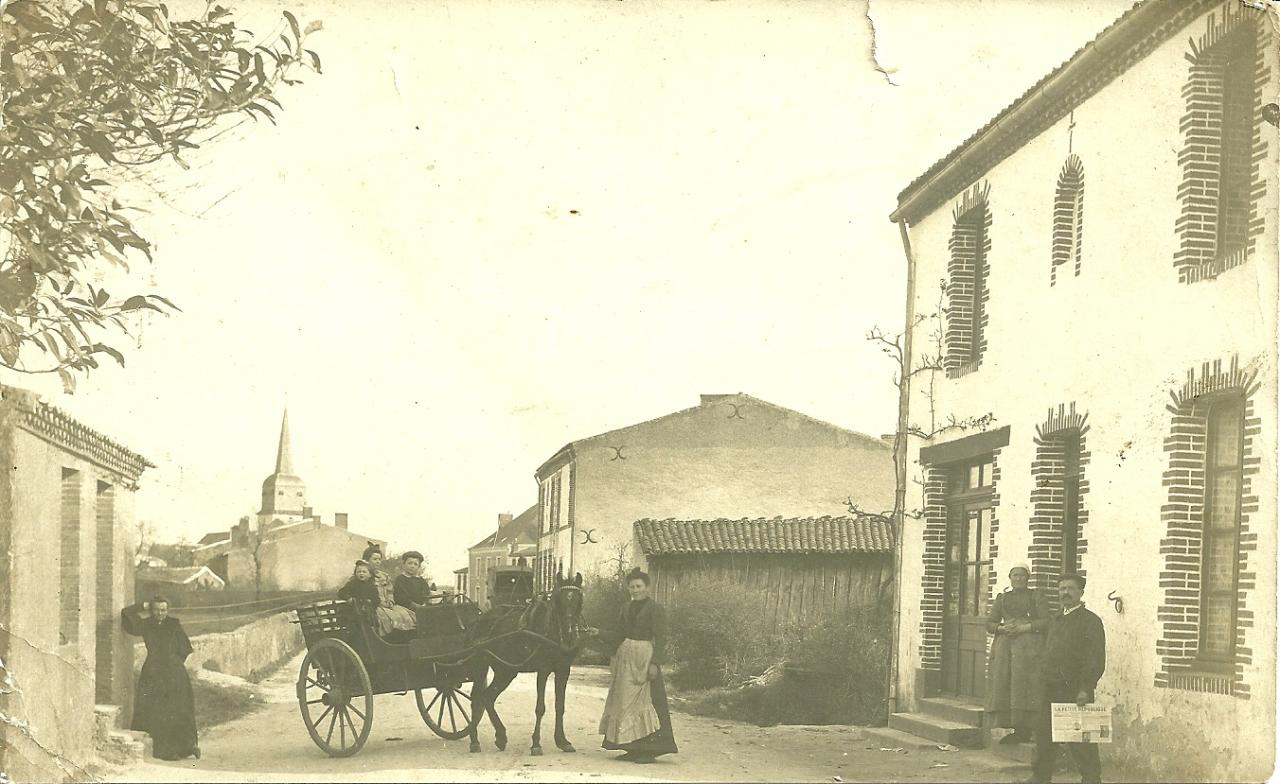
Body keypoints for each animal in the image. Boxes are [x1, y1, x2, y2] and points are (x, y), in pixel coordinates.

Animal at [468, 573, 586, 758]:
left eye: (578, 599)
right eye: (559, 600)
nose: (569, 632)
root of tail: (480, 618)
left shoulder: (563, 670)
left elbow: (560, 706)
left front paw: (562, 741)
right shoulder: (543, 670)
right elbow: (540, 707)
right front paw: (536, 744)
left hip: (505, 670)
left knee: (487, 697)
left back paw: (500, 736)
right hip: (481, 664)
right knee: (476, 698)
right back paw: (475, 741)